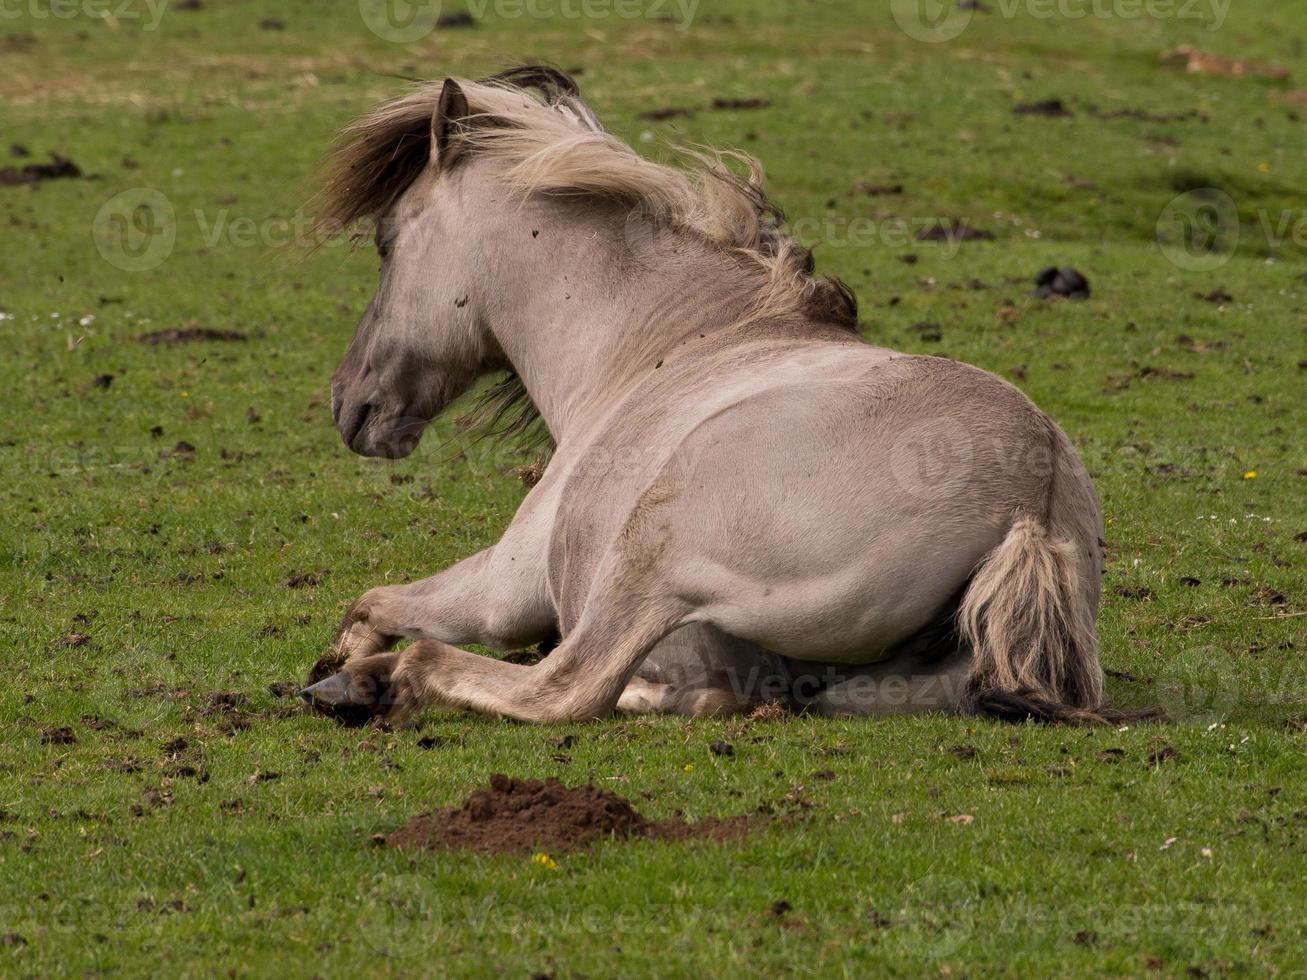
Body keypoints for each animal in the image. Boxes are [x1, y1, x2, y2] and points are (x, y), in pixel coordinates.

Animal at [303, 67, 1113, 731]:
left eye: (385, 240)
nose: (349, 403)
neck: (661, 344)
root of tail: (1029, 503)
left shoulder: (508, 586)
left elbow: (377, 600)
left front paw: (339, 667)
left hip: (650, 548)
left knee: (566, 686)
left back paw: (375, 684)